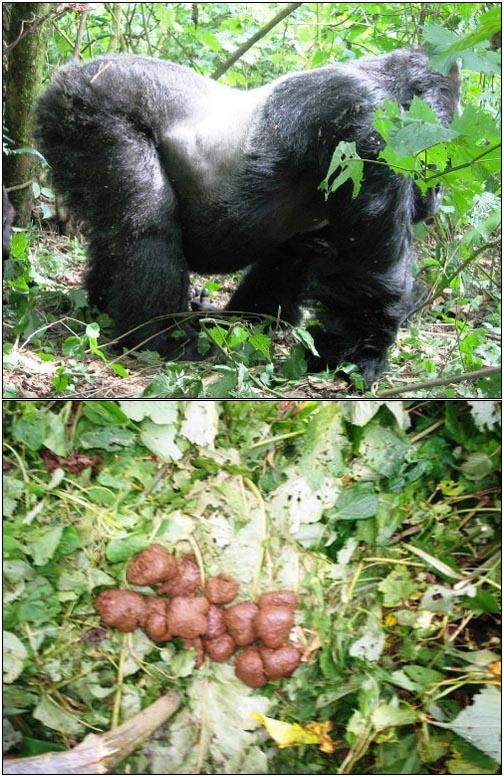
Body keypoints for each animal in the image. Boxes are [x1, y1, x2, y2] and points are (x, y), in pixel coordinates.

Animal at [34, 48, 460, 382]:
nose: (437, 195)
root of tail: (65, 76)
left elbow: (293, 261)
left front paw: (245, 323)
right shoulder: (368, 126)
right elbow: (368, 274)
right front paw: (357, 359)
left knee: (114, 233)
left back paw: (109, 305)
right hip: (90, 107)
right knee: (145, 219)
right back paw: (160, 338)